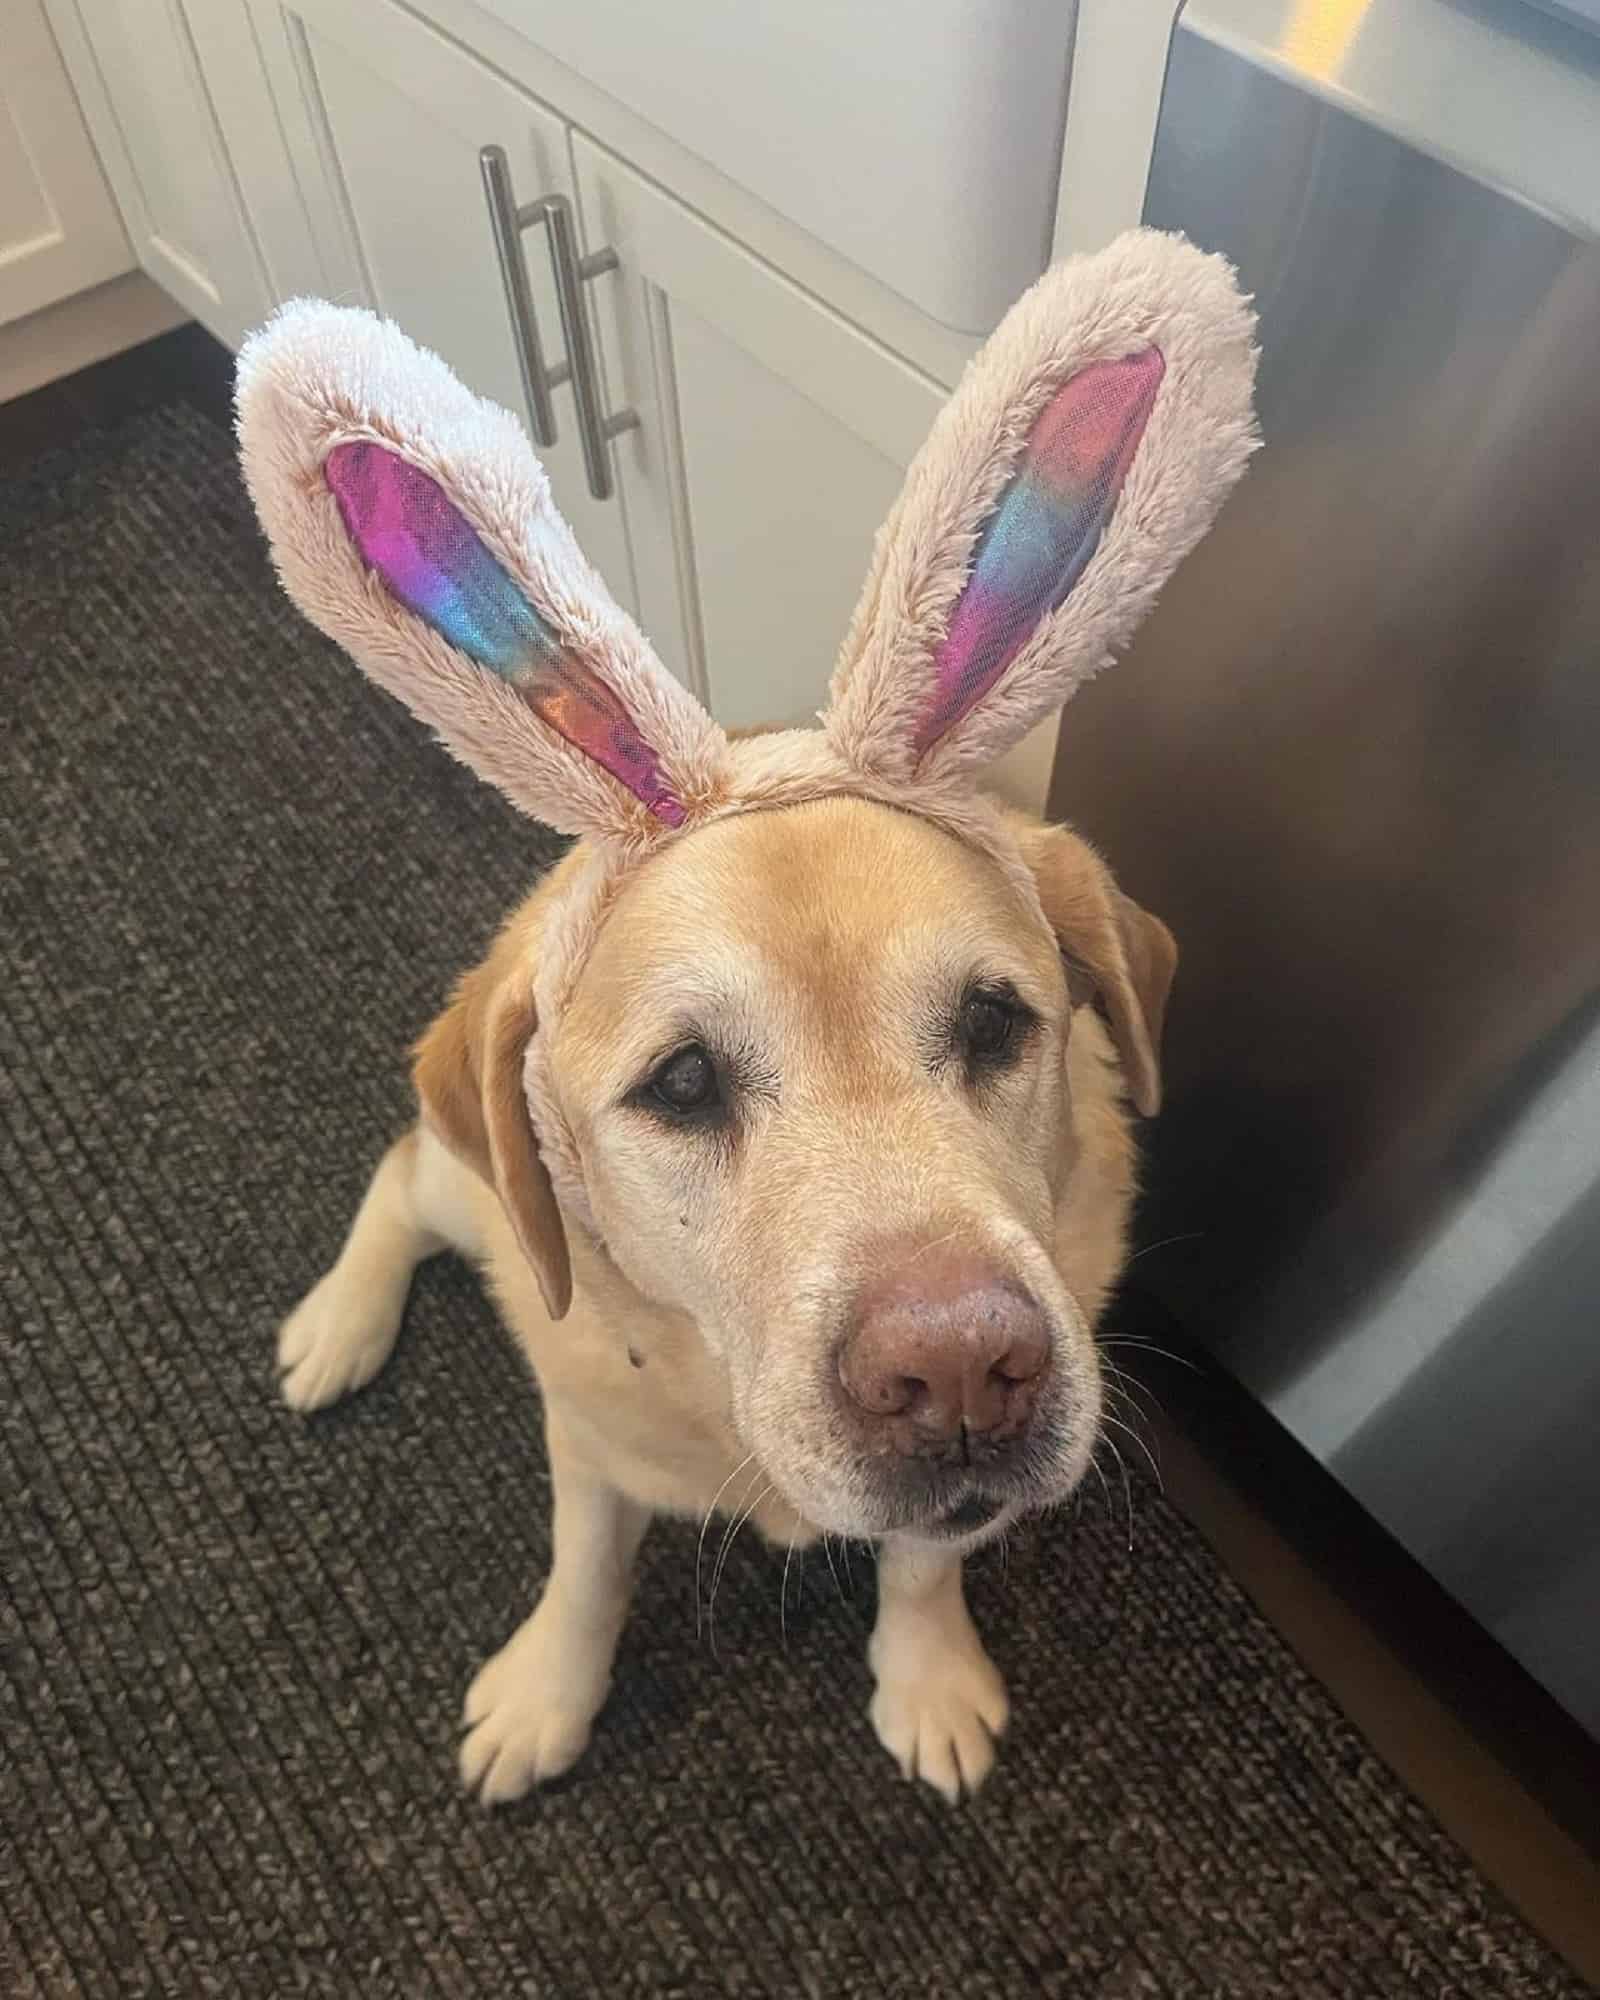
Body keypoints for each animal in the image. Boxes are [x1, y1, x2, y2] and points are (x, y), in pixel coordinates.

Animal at [238, 227, 1256, 1808]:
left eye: (996, 1023)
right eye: (682, 1082)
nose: (962, 1372)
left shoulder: (958, 1495)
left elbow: (923, 1564)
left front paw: (927, 1673)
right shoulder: (588, 1444)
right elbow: (586, 1573)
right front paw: (549, 1692)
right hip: (481, 1193)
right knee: (403, 1178)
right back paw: (337, 1325)